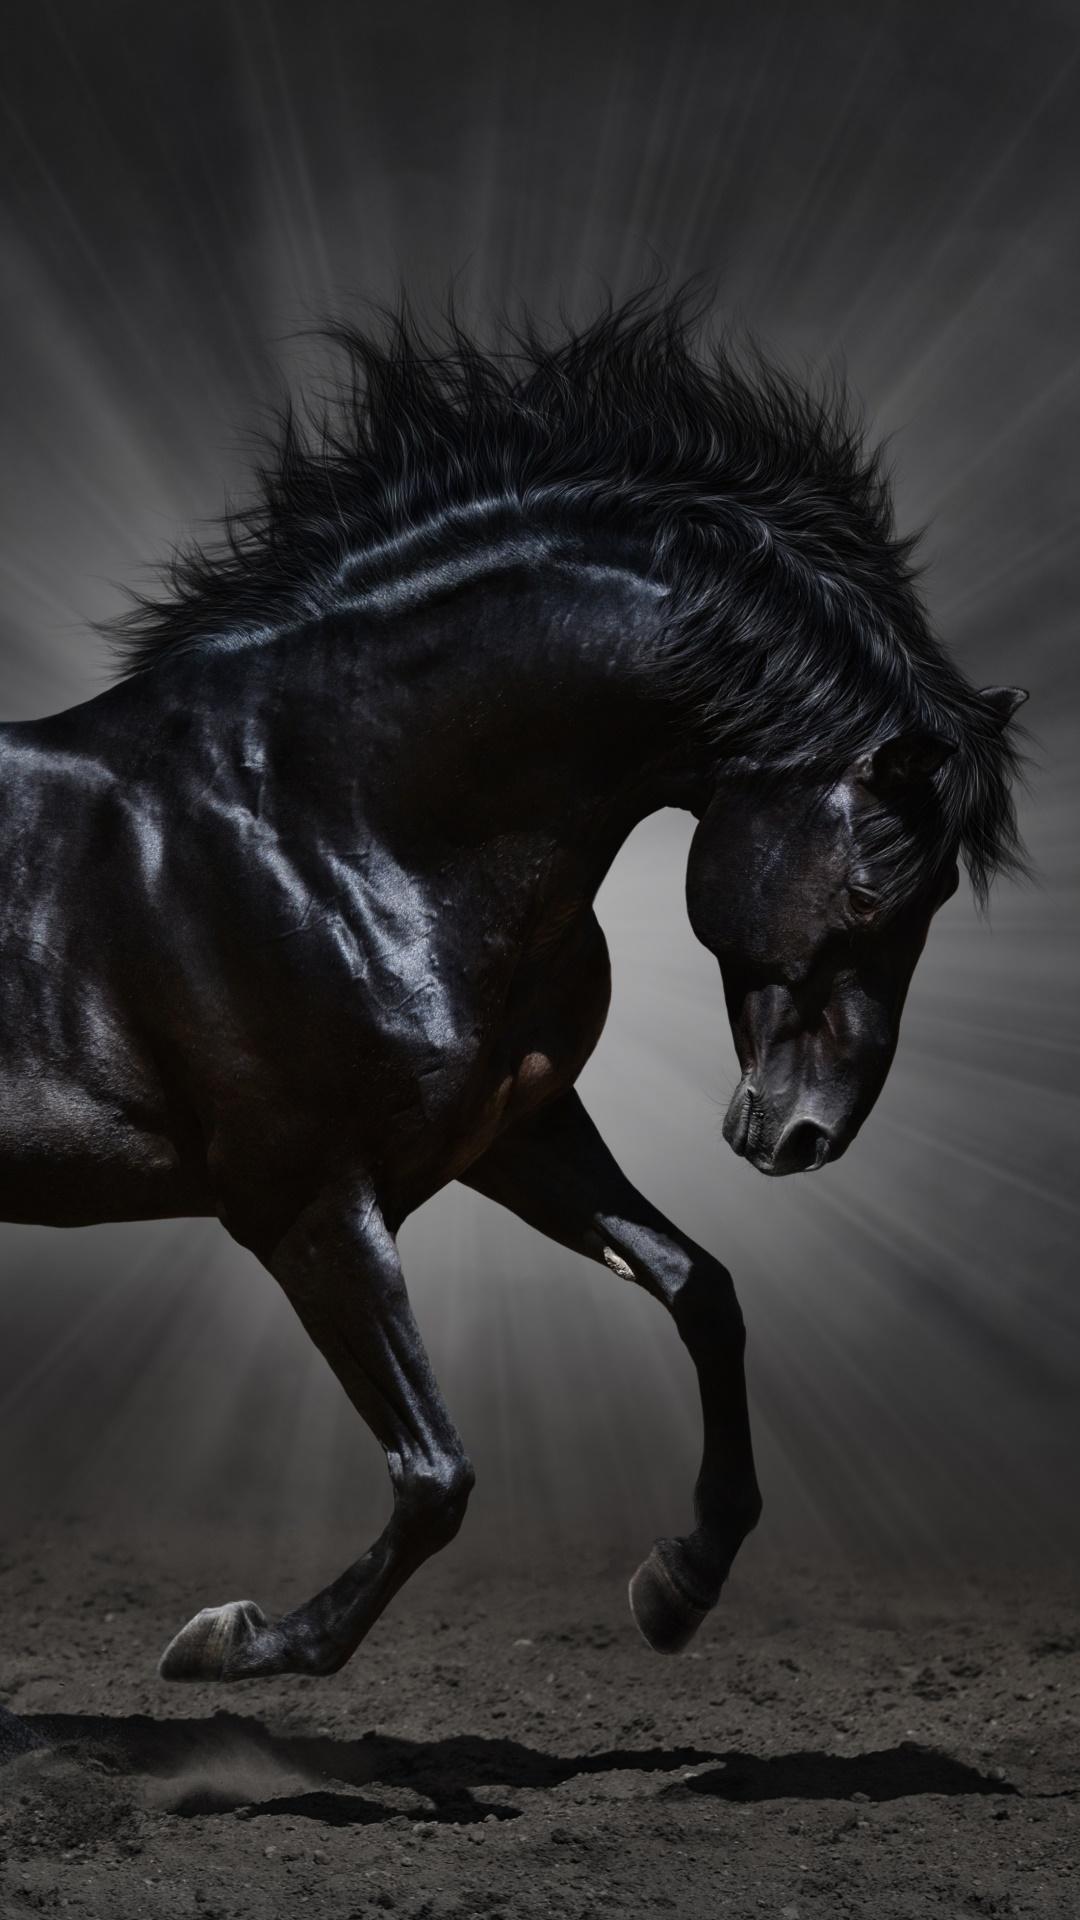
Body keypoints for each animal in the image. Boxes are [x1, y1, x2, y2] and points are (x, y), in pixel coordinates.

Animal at [0, 293, 1026, 1686]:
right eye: (877, 890)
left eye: (937, 901)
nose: (805, 1133)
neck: (329, 822)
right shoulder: (307, 1203)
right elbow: (436, 1474)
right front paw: (238, 1641)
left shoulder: (515, 1132)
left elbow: (700, 1290)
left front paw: (679, 1584)